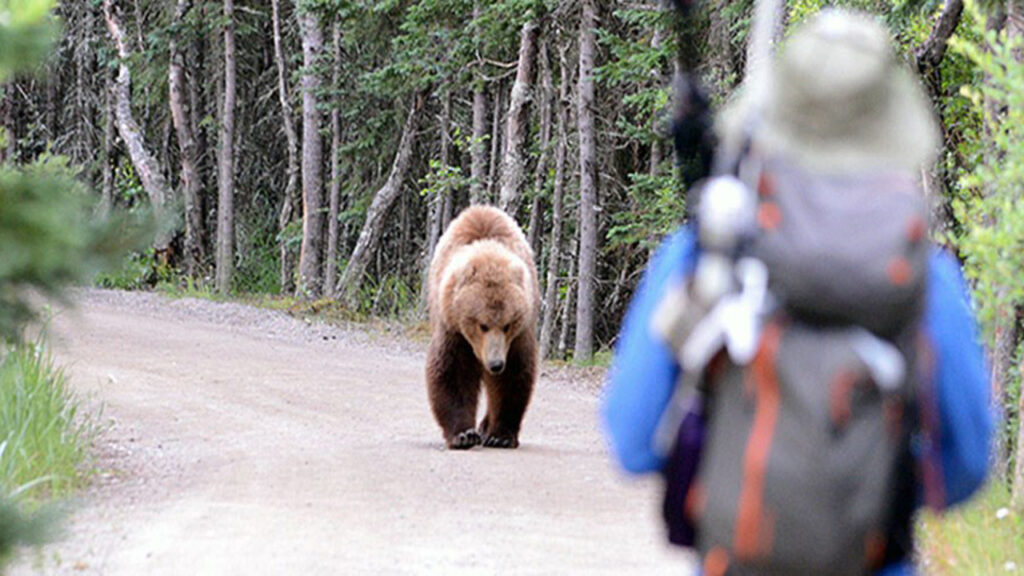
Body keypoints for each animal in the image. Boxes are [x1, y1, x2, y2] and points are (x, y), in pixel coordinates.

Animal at [423, 204, 540, 448]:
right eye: (482, 325)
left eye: (507, 324)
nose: (495, 364)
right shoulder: (453, 327)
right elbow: (453, 372)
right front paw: (463, 434)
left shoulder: (517, 337)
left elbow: (512, 376)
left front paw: (500, 435)